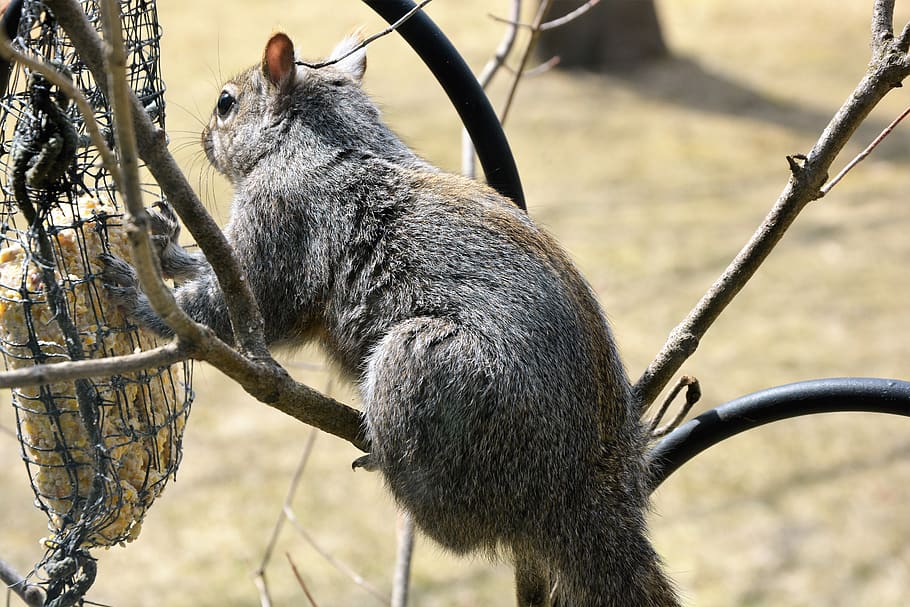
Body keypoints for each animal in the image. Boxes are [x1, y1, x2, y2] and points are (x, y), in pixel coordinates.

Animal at [103, 32, 680, 606]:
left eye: (226, 103)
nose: (201, 138)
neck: (316, 139)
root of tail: (582, 491)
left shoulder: (283, 215)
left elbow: (249, 303)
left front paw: (144, 299)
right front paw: (162, 250)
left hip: (429, 369)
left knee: (456, 526)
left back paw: (392, 467)